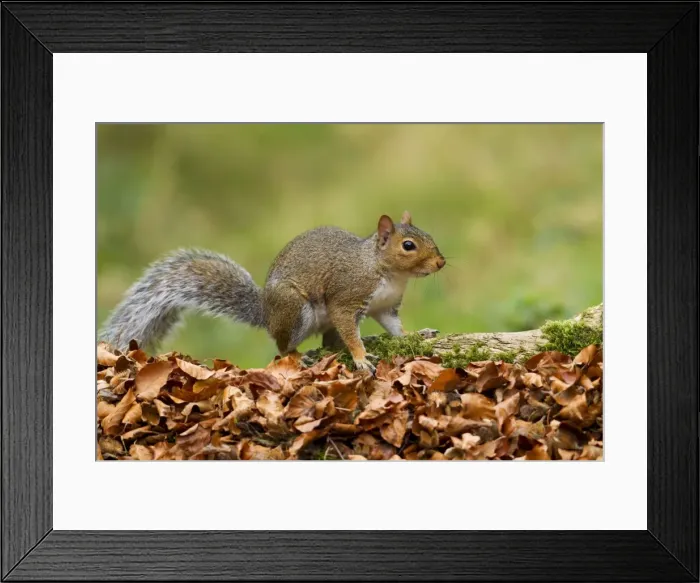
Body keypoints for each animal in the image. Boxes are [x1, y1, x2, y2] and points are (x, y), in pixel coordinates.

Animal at [99, 211, 445, 372]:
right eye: (408, 245)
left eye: (429, 235)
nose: (441, 262)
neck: (388, 273)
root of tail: (266, 313)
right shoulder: (347, 298)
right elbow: (349, 330)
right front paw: (360, 358)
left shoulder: (384, 307)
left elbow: (395, 327)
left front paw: (415, 334)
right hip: (295, 311)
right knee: (282, 347)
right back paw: (298, 355)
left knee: (329, 342)